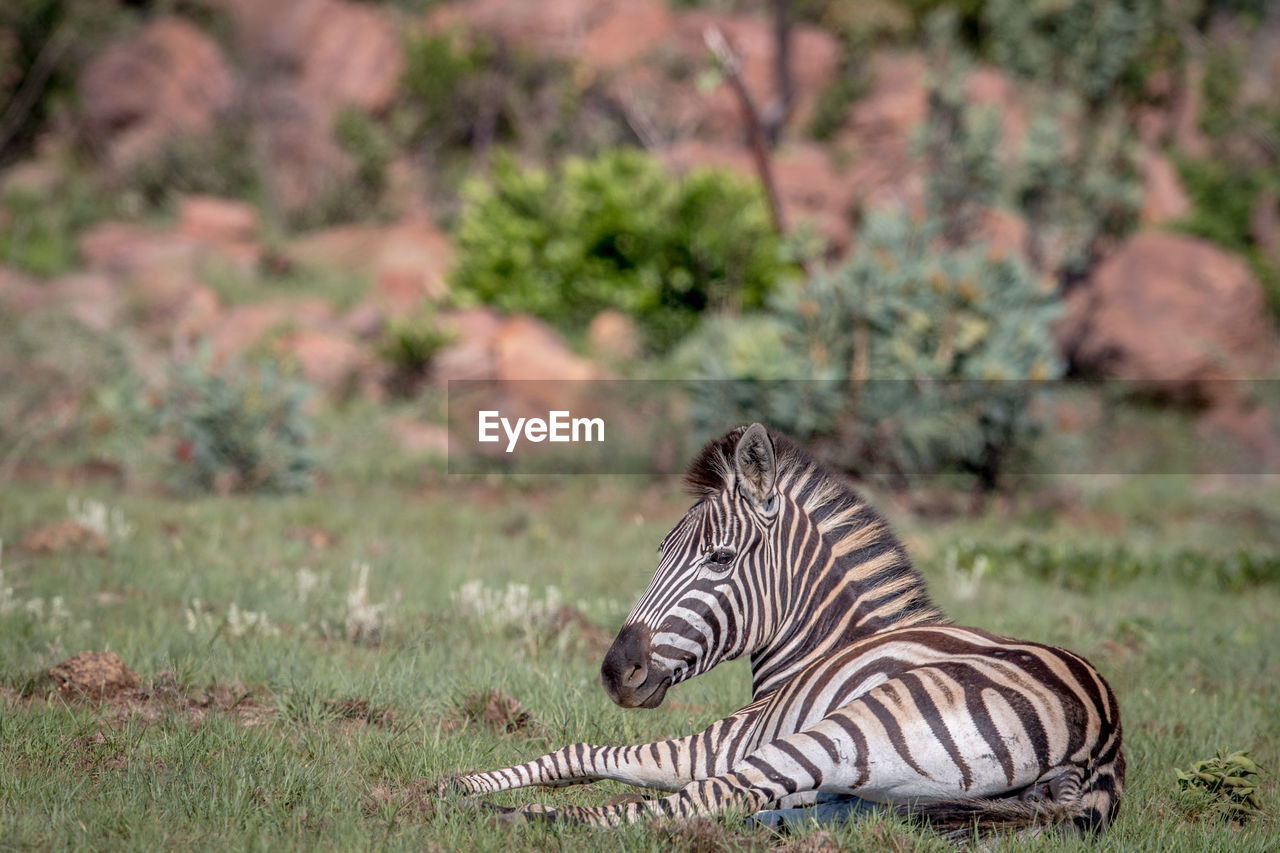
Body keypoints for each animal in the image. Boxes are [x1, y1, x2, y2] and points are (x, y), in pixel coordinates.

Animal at [437, 422, 1121, 835]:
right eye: (660, 553)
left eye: (718, 559)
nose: (614, 671)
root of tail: (1099, 742)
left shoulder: (718, 743)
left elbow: (585, 752)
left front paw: (461, 786)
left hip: (848, 728)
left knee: (703, 799)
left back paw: (516, 816)